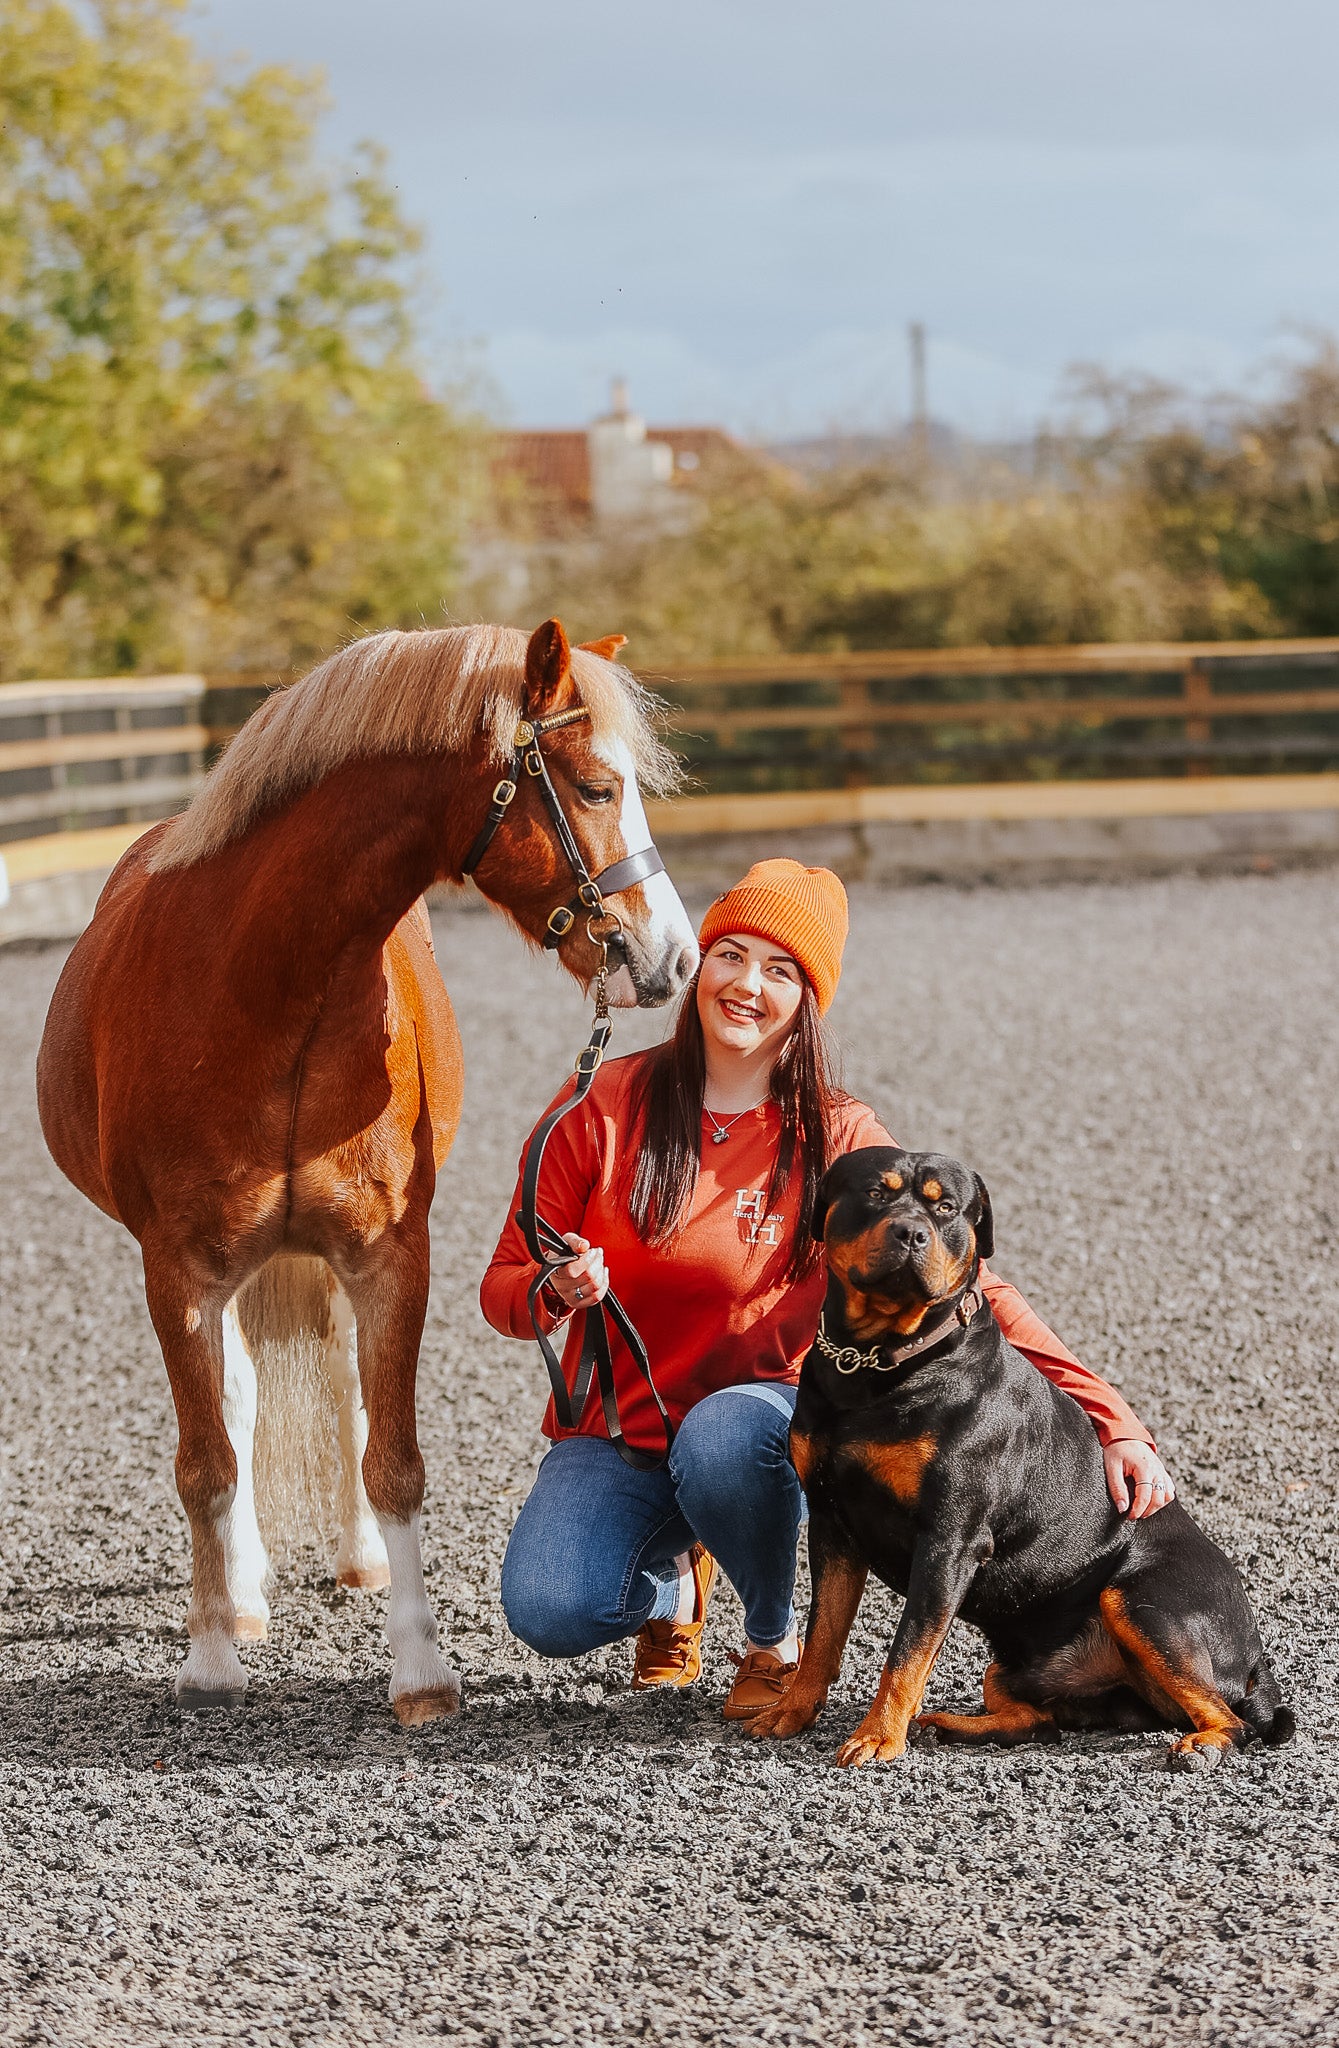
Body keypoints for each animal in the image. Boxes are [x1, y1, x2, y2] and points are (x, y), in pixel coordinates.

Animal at [36, 614, 696, 1720]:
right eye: (597, 787)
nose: (675, 959)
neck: (270, 982)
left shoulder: (390, 1258)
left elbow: (393, 1459)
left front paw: (421, 1671)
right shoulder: (178, 1271)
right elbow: (207, 1461)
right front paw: (211, 1657)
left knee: (337, 1381)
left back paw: (351, 1561)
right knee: (237, 1401)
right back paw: (243, 1594)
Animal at [749, 1146, 1293, 1769]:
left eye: (944, 1207)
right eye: (876, 1194)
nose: (911, 1232)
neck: (879, 1360)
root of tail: (1255, 1663)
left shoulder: (949, 1540)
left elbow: (907, 1650)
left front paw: (879, 1736)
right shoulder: (831, 1524)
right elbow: (822, 1635)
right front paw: (792, 1711)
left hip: (1141, 1601)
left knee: (1232, 1720)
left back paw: (1201, 1745)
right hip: (1016, 1669)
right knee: (1039, 1721)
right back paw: (951, 1726)